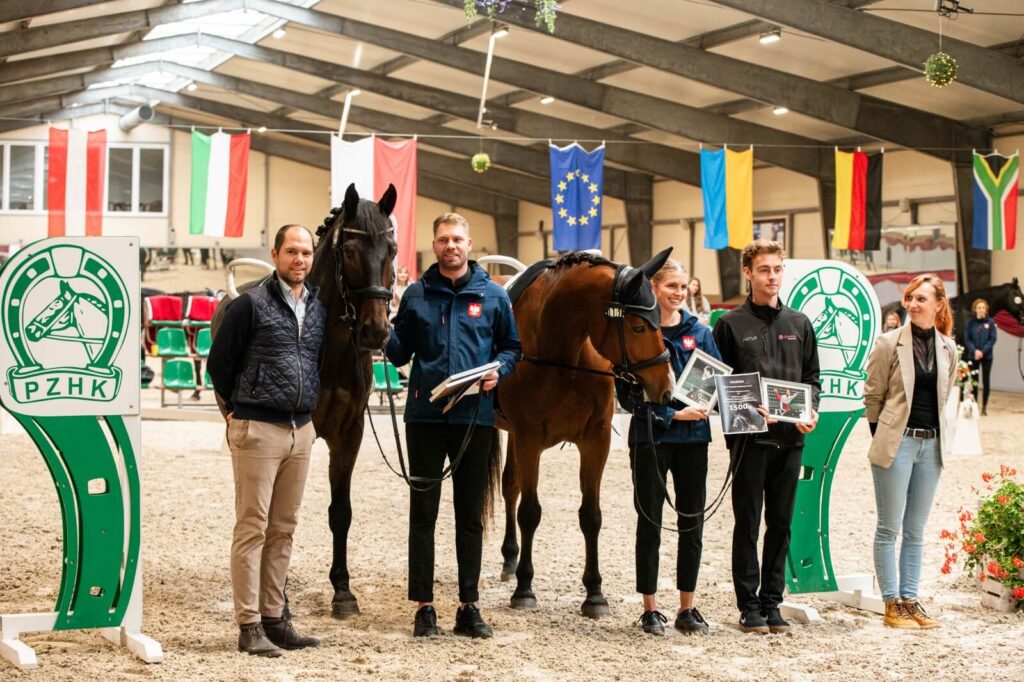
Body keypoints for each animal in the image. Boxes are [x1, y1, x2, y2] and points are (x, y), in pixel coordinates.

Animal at [497, 248, 679, 614]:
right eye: (638, 326)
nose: (666, 388)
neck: (561, 355)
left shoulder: (596, 440)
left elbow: (591, 516)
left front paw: (594, 593)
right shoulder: (528, 440)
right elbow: (530, 513)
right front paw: (525, 589)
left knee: (510, 486)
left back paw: (510, 559)